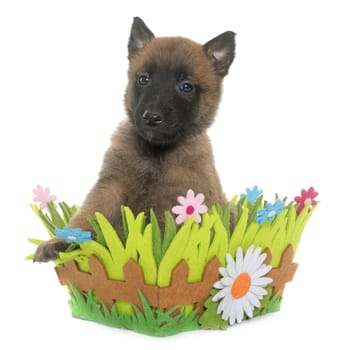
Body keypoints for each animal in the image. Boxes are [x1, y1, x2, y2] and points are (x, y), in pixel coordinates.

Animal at [33, 17, 235, 262]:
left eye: (186, 86)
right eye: (143, 79)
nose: (152, 117)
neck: (156, 155)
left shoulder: (182, 203)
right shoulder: (111, 187)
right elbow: (87, 216)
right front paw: (60, 241)